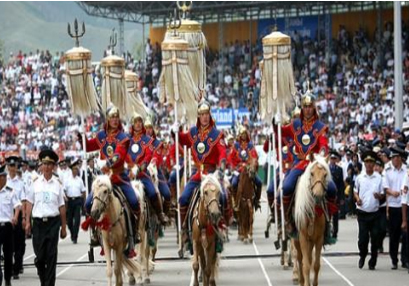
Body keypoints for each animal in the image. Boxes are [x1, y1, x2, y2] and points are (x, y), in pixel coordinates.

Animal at [292, 155, 330, 286]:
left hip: (311, 240)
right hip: (297, 239)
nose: (317, 195)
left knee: (308, 257)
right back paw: (300, 280)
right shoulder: (302, 237)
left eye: (325, 175)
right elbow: (306, 265)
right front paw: (305, 282)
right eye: (312, 173)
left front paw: (313, 283)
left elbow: (316, 265)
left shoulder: (318, 238)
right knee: (300, 258)